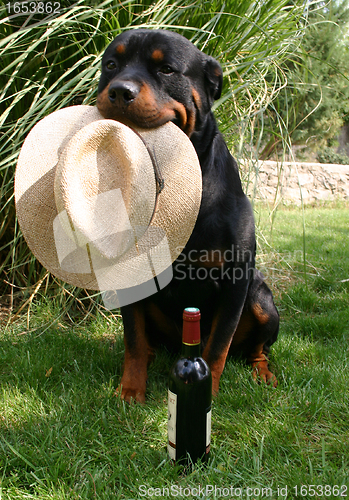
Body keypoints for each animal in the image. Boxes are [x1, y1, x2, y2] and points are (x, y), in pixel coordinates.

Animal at [96, 29, 278, 402]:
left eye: (166, 68)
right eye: (111, 65)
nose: (120, 90)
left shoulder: (236, 281)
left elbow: (218, 346)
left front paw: (208, 390)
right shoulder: (130, 273)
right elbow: (133, 340)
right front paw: (131, 390)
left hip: (261, 299)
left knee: (256, 348)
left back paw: (262, 371)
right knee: (147, 342)